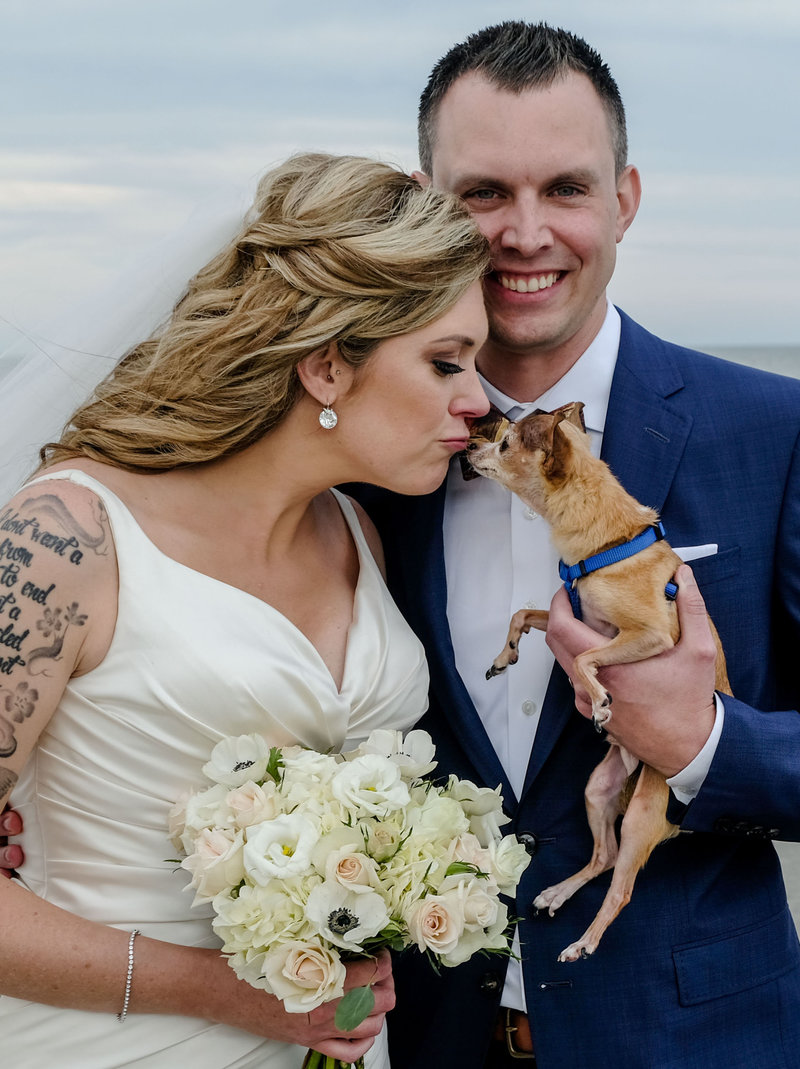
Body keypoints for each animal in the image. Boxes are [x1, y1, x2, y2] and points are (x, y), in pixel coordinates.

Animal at [462, 399, 731, 962]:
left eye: (505, 445)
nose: (471, 448)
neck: (608, 541)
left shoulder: (649, 635)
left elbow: (586, 658)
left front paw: (602, 700)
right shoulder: (571, 614)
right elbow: (524, 614)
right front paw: (504, 655)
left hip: (644, 811)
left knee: (622, 888)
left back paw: (583, 942)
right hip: (598, 789)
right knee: (603, 855)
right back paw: (558, 892)